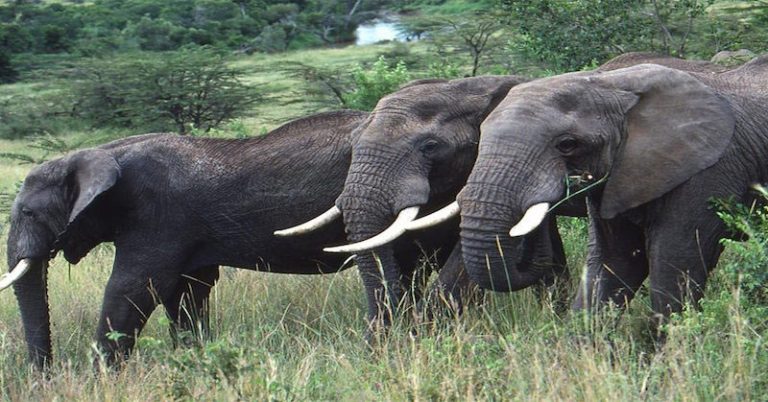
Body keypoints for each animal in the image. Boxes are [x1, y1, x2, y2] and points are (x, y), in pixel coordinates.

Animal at [3, 109, 468, 369]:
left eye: (27, 213)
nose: (46, 375)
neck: (99, 152)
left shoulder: (156, 217)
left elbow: (133, 288)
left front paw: (102, 378)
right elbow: (186, 293)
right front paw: (193, 362)